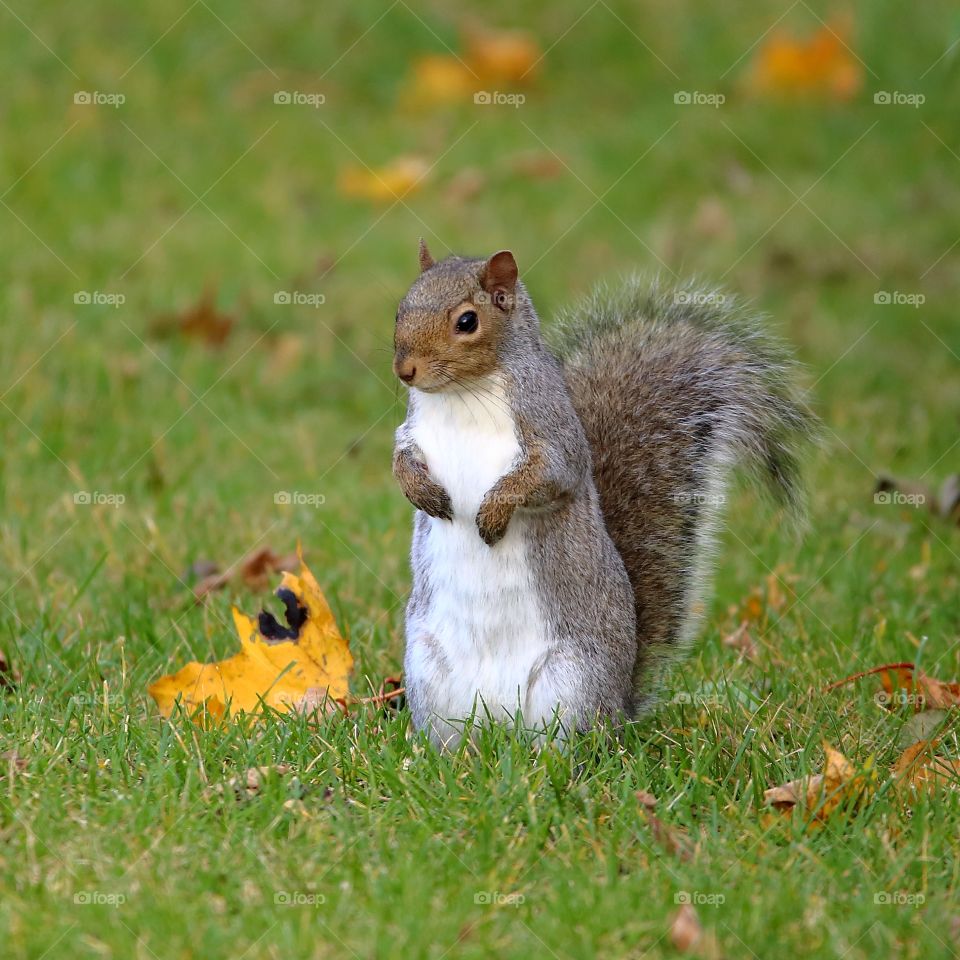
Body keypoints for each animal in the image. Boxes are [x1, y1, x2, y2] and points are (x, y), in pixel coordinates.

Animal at [392, 240, 816, 747]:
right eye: (400, 308)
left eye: (467, 321)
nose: (405, 370)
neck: (462, 395)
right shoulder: (413, 433)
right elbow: (401, 460)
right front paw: (422, 492)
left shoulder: (553, 433)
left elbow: (547, 477)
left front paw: (494, 512)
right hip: (428, 671)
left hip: (572, 680)